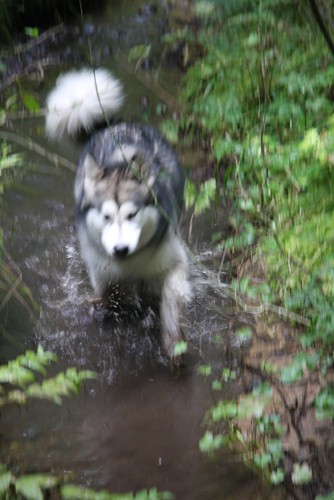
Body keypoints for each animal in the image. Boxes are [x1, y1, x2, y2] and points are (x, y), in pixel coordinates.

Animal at [45, 67, 190, 364]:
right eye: (106, 217)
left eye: (133, 214)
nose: (120, 249)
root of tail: (114, 126)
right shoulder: (106, 278)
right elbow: (117, 300)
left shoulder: (174, 261)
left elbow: (171, 298)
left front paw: (173, 342)